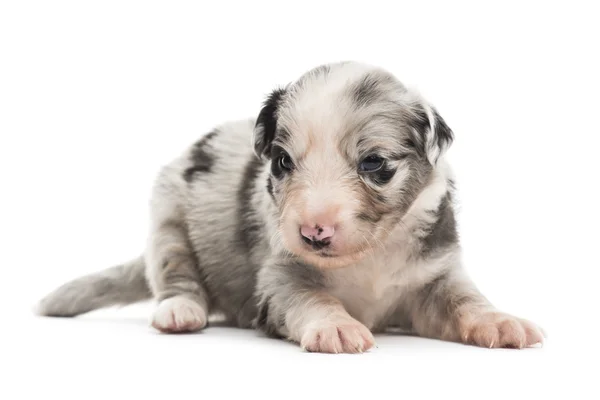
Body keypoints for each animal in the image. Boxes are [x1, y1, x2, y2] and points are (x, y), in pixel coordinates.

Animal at [36, 61, 544, 354]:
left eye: (373, 163)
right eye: (282, 161)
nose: (314, 232)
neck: (370, 256)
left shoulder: (435, 274)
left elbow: (464, 300)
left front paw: (501, 321)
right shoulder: (278, 277)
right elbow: (310, 297)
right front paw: (336, 327)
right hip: (169, 221)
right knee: (175, 276)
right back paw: (180, 311)